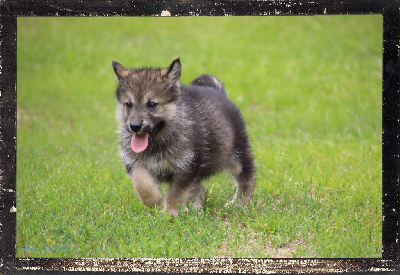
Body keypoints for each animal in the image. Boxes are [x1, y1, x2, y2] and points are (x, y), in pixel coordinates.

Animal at [112, 59, 256, 217]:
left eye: (152, 104)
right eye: (128, 104)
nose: (135, 126)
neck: (157, 143)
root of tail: (218, 90)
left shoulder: (186, 167)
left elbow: (176, 194)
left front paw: (170, 213)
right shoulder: (134, 163)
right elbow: (143, 184)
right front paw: (156, 201)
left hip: (239, 154)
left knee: (246, 178)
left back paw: (240, 203)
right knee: (199, 188)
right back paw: (196, 208)